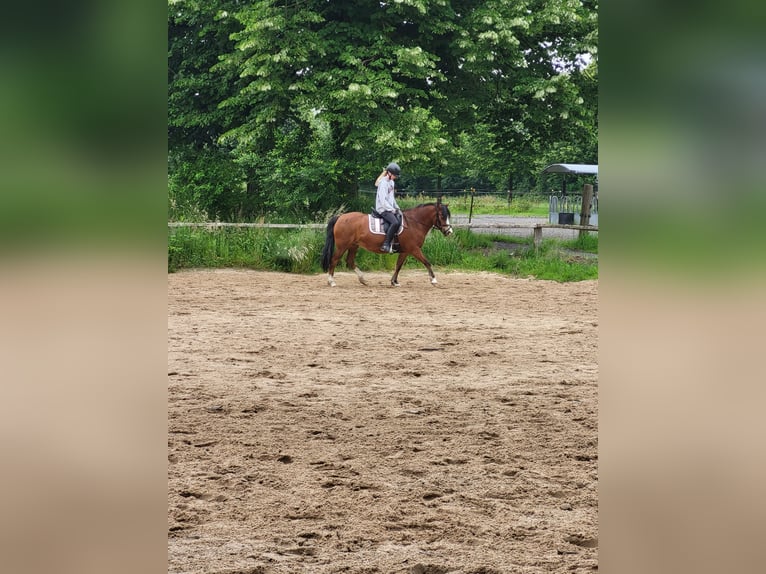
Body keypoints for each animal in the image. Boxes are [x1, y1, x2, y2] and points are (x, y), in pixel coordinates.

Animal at [320, 200, 452, 288]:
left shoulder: (405, 251)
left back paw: (363, 280)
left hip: (353, 245)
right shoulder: (414, 249)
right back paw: (331, 281)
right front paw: (433, 279)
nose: (449, 231)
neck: (414, 223)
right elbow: (427, 262)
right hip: (342, 246)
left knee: (350, 261)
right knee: (334, 260)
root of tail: (340, 217)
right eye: (442, 216)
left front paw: (394, 282)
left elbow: (398, 266)